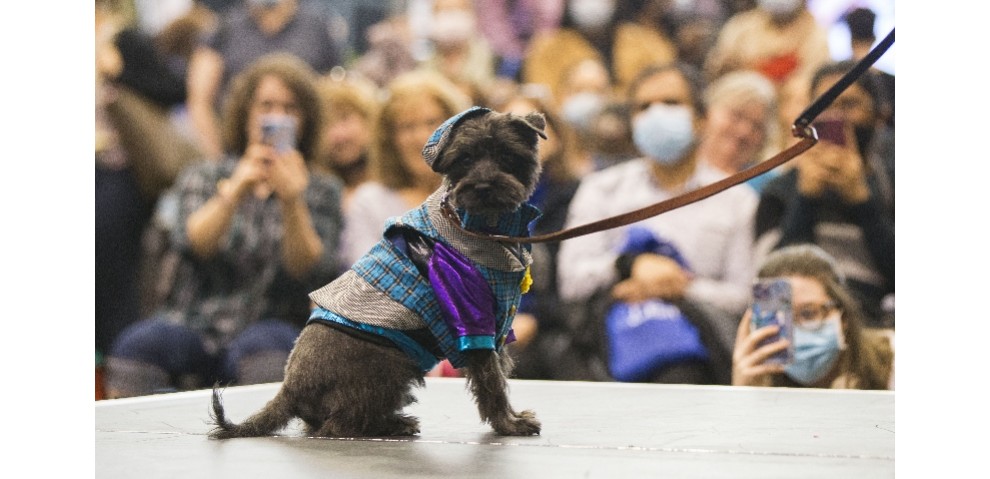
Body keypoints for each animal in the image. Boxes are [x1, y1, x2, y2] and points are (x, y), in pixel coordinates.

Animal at [211, 108, 552, 438]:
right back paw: (393, 425)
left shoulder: (496, 325)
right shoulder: (473, 321)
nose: (483, 186)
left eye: (506, 153)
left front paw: (512, 419)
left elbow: (499, 372)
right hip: (392, 364)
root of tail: (290, 390)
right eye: (464, 159)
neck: (479, 225)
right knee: (338, 426)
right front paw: (509, 424)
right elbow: (491, 381)